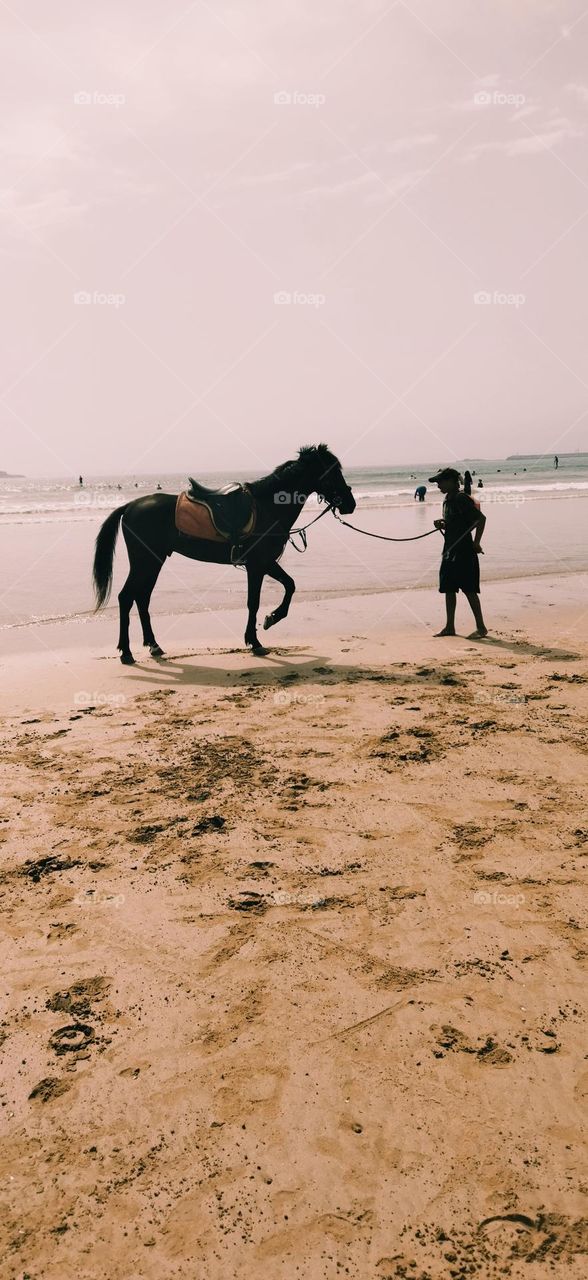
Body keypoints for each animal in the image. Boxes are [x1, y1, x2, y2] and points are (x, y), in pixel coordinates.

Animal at [94, 442, 356, 660]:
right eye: (332, 472)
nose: (350, 503)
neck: (267, 507)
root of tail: (130, 506)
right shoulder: (257, 565)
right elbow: (255, 602)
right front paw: (256, 638)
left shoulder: (265, 563)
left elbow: (289, 585)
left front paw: (270, 619)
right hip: (145, 562)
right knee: (127, 597)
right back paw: (126, 652)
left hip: (153, 562)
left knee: (142, 598)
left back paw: (153, 645)